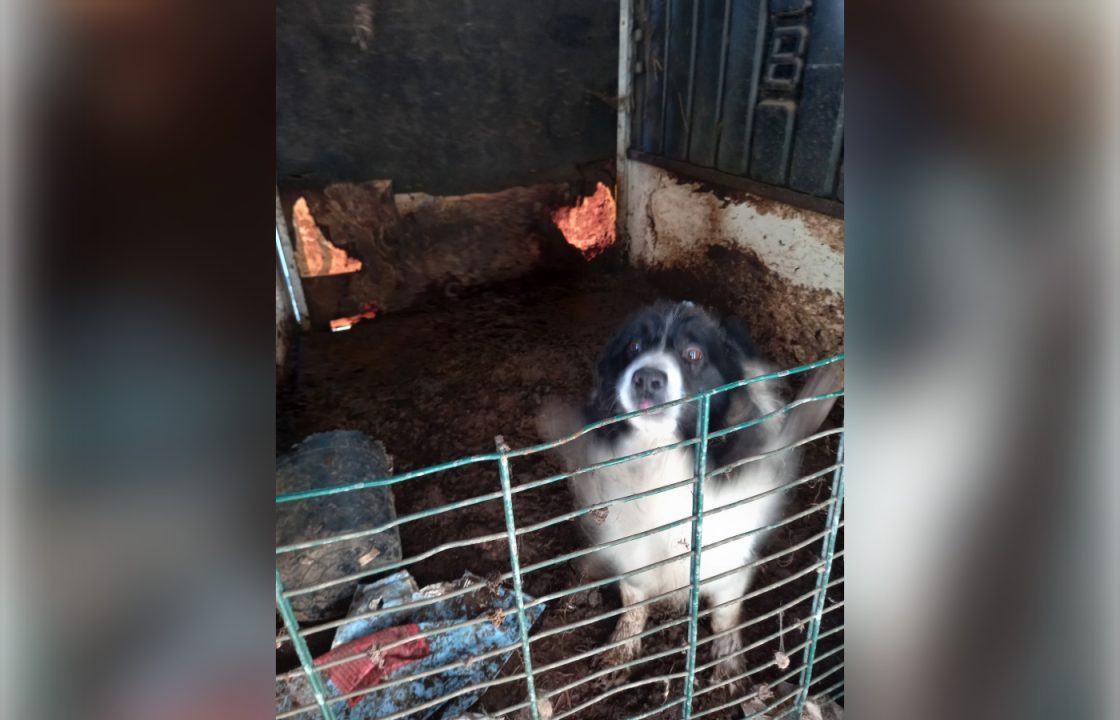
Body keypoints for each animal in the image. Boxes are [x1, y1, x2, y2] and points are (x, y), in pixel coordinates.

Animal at [535, 302, 842, 685]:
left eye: (693, 354)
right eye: (634, 346)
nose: (646, 378)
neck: (663, 456)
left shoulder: (728, 556)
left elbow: (725, 614)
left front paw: (728, 663)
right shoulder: (633, 549)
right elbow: (633, 601)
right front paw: (621, 651)